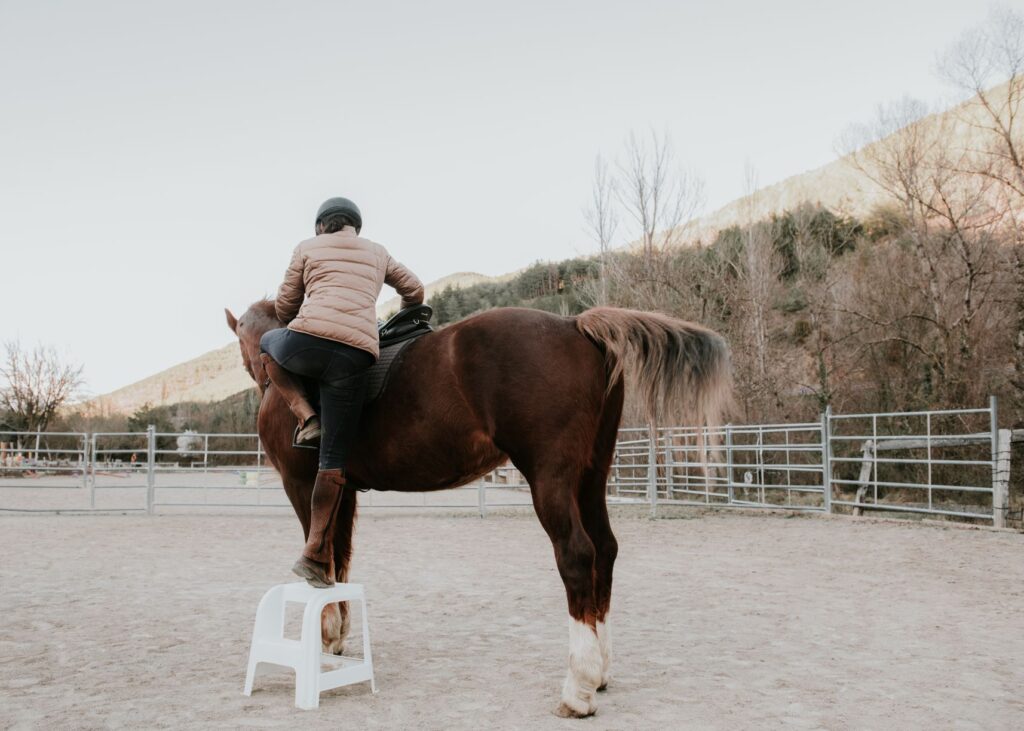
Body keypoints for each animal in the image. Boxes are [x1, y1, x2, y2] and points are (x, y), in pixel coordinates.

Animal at [228, 298, 733, 716]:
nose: (258, 374)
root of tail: (574, 324)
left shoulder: (301, 483)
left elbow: (322, 553)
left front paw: (326, 626)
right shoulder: (345, 488)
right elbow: (340, 556)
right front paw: (336, 633)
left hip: (550, 478)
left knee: (577, 555)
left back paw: (578, 687)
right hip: (591, 477)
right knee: (605, 551)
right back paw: (601, 669)